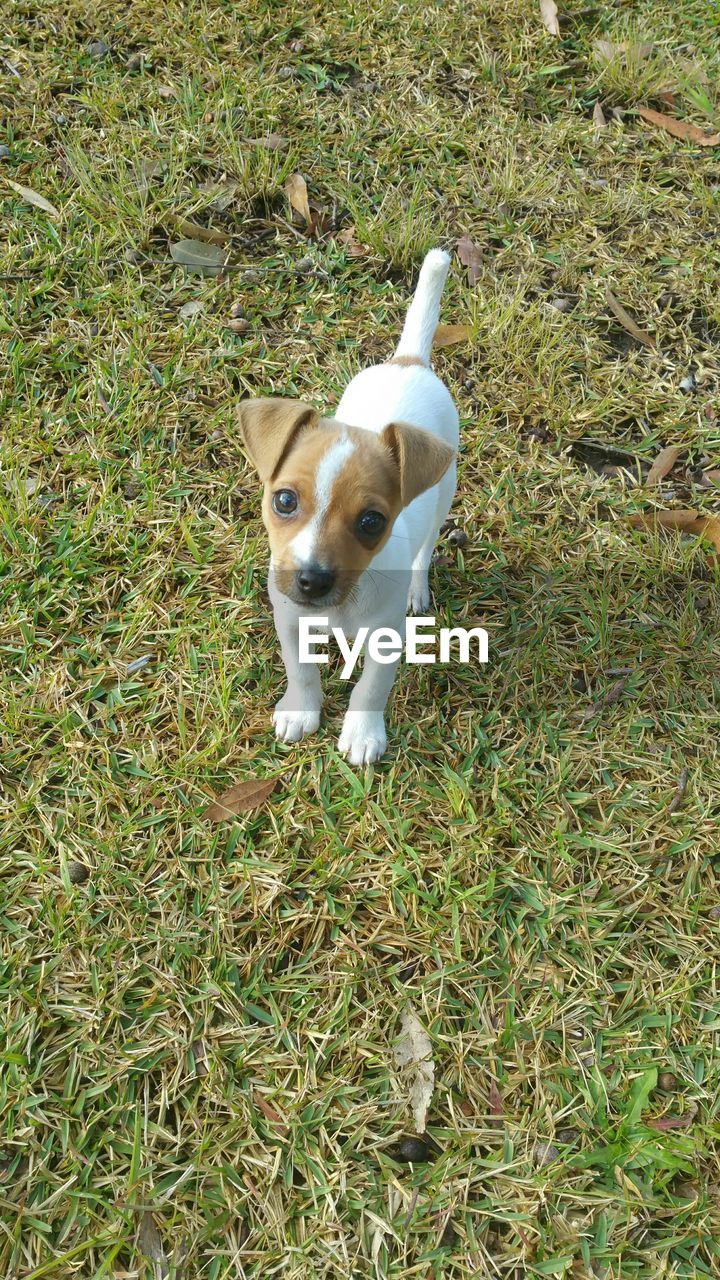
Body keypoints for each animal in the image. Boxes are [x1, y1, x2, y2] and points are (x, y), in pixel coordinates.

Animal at [238, 249, 456, 762]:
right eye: (284, 500)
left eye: (372, 522)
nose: (311, 580)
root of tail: (408, 361)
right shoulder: (290, 620)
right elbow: (300, 670)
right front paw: (302, 709)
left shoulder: (385, 640)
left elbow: (370, 689)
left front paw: (362, 733)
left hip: (444, 495)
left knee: (424, 551)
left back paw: (418, 588)